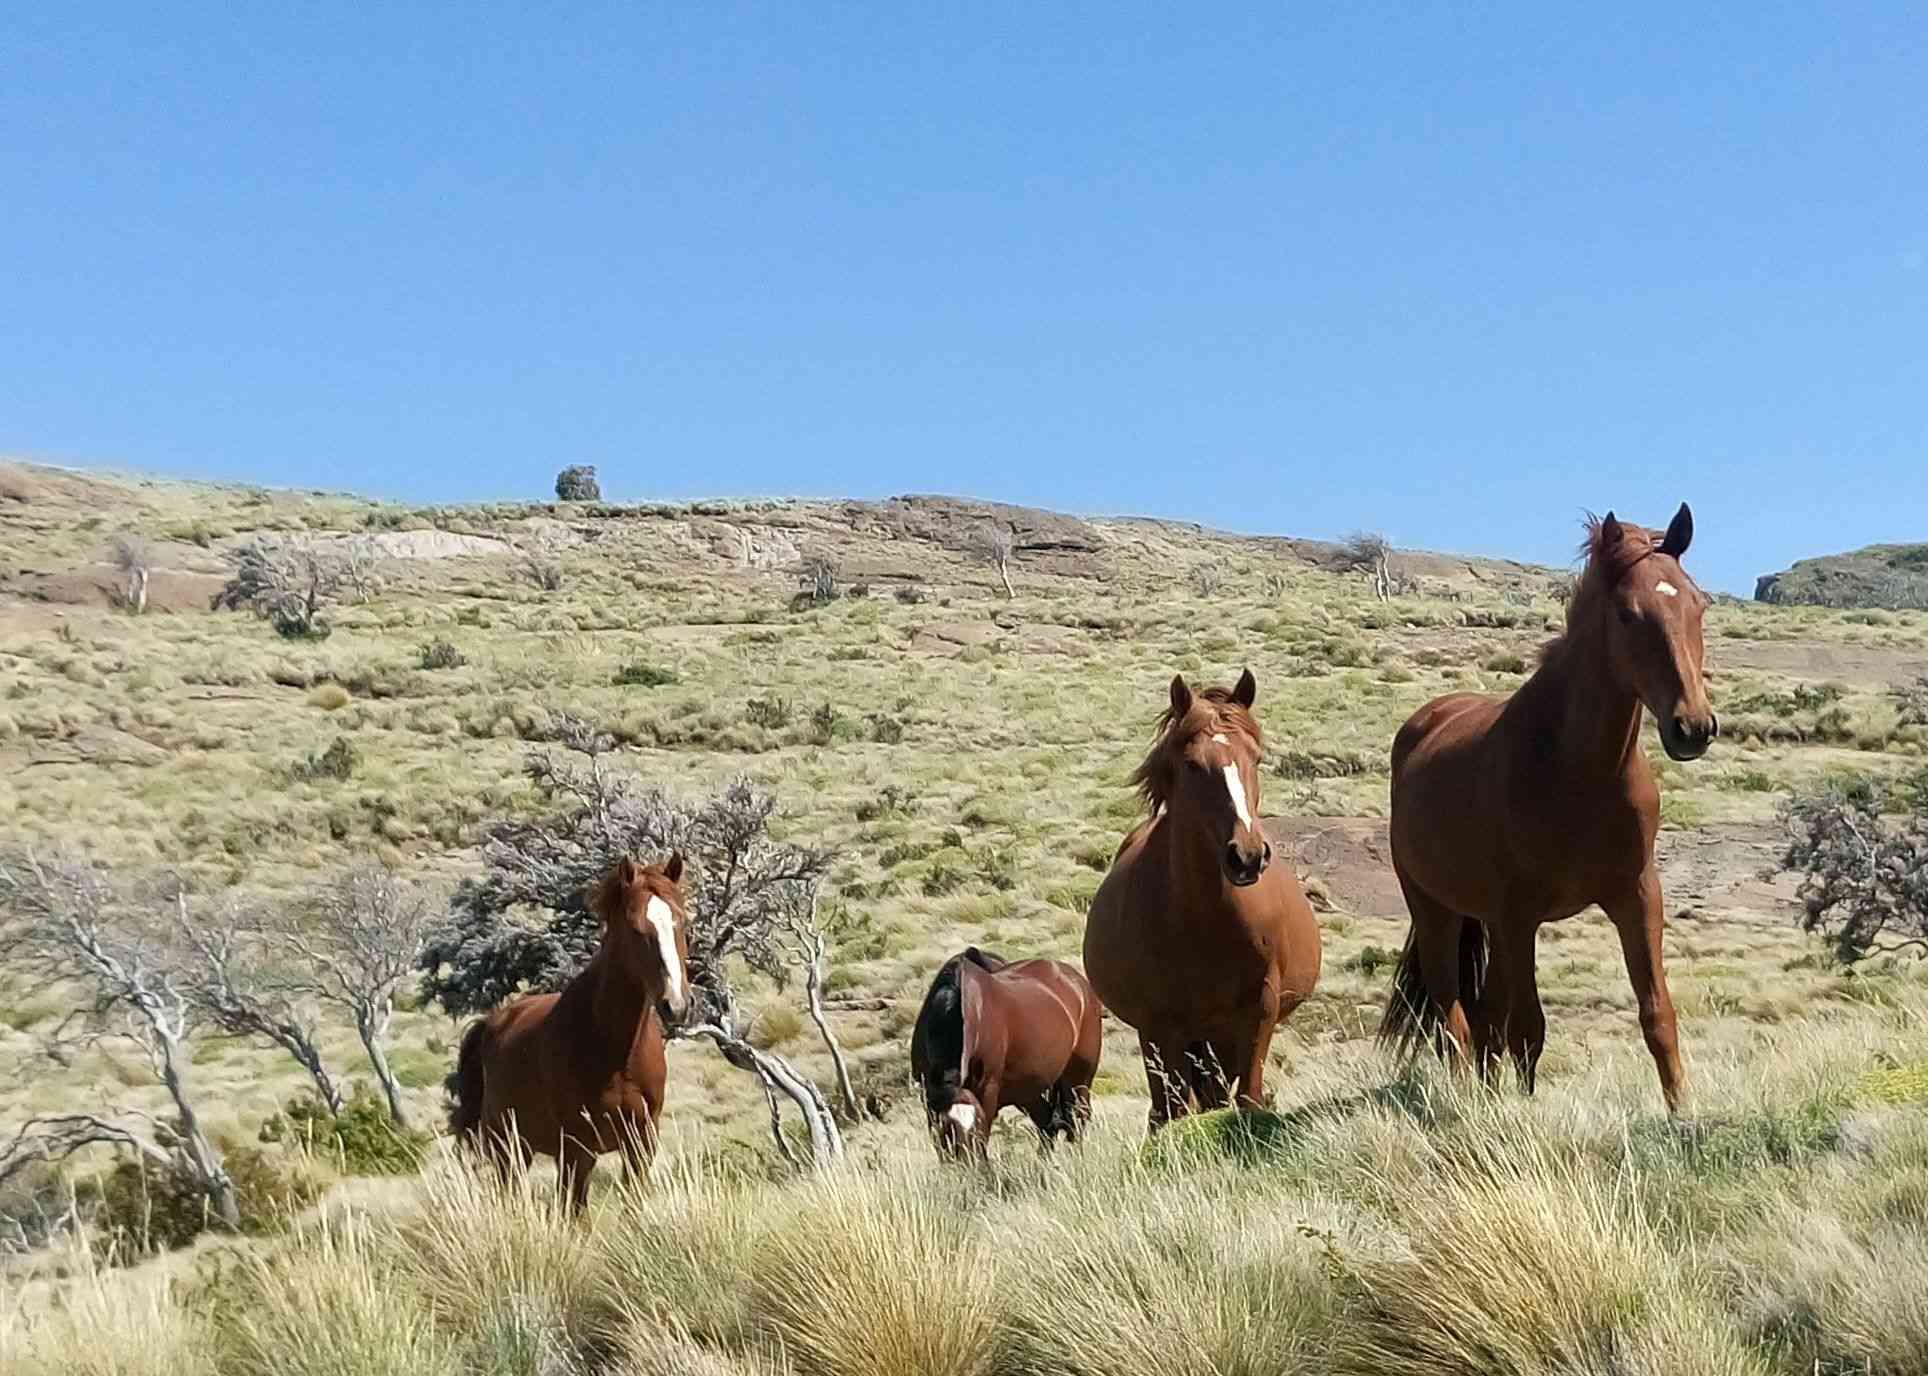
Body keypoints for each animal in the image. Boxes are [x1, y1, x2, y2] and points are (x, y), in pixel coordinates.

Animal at [447, 851, 690, 1202]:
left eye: (682, 922)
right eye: (635, 928)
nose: (677, 1005)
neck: (616, 1052)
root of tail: (493, 1023)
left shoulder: (641, 1142)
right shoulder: (577, 1148)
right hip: (506, 1146)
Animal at [910, 944, 1110, 1156]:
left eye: (977, 1124)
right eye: (947, 1129)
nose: (969, 1162)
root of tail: (1078, 983)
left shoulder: (987, 1090)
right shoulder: (929, 1095)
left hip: (1078, 1078)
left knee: (1078, 1118)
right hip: (1027, 1090)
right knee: (1048, 1122)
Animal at [1087, 662, 1326, 1125]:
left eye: (1256, 758)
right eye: (1192, 765)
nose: (1247, 857)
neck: (1204, 924)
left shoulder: (1257, 1014)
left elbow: (1250, 1099)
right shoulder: (1160, 1027)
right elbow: (1173, 1112)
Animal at [1388, 508, 1719, 1110]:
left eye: (1697, 604)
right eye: (1627, 613)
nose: (1693, 727)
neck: (1577, 771)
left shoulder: (1637, 897)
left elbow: (1657, 1015)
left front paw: (1683, 1113)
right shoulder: (1520, 915)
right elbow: (1528, 1029)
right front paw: (1522, 1114)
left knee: (1482, 1017)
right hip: (1436, 911)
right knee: (1453, 1017)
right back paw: (1466, 1104)